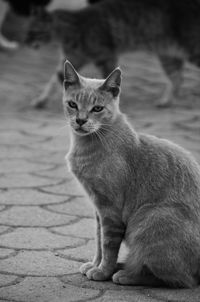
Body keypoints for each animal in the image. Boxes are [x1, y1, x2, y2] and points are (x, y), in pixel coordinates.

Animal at [26, 0, 200, 108]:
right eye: (29, 30)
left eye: (33, 32)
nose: (25, 42)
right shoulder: (72, 59)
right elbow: (53, 82)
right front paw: (41, 101)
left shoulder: (107, 56)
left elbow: (107, 83)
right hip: (168, 55)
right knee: (177, 78)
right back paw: (166, 101)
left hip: (191, 50)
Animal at [63, 60, 200, 290]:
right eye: (73, 104)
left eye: (97, 108)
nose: (80, 120)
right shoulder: (98, 209)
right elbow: (98, 241)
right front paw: (95, 265)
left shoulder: (110, 209)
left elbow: (108, 245)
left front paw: (102, 271)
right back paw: (124, 267)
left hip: (150, 219)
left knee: (180, 279)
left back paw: (126, 275)